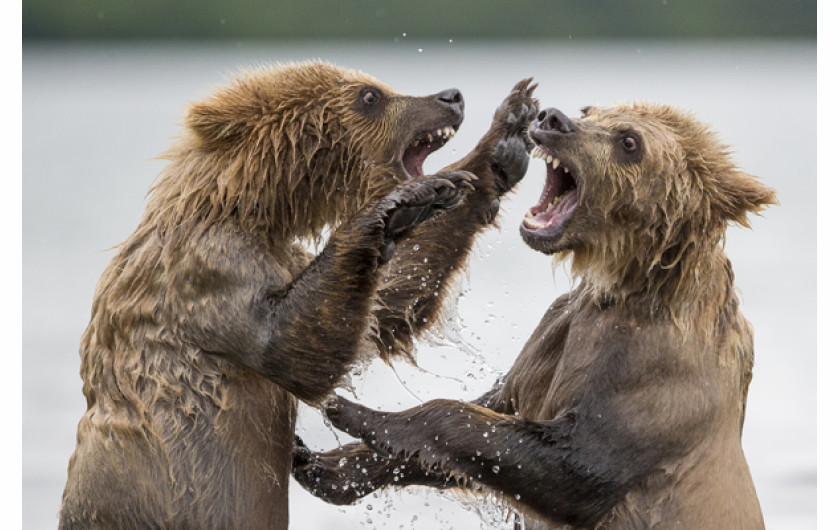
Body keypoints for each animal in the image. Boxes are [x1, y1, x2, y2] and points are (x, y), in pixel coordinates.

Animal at [59, 60, 540, 524]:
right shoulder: (206, 272)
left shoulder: (286, 259)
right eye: (370, 95)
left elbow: (382, 309)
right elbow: (291, 348)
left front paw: (502, 140)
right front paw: (401, 201)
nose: (450, 96)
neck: (249, 209)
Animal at [294, 101, 776, 524]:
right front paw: (324, 463)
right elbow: (498, 411)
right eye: (590, 111)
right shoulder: (558, 330)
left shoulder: (658, 372)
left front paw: (355, 411)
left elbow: (575, 467)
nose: (554, 118)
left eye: (629, 141)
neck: (627, 284)